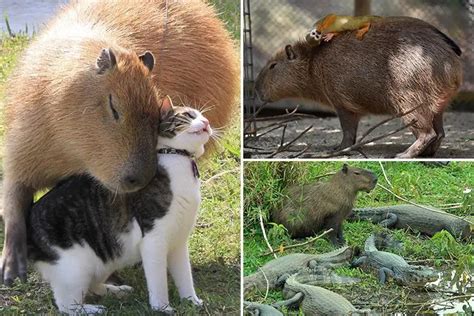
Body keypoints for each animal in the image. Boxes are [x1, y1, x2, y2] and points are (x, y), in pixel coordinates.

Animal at [25, 96, 211, 314]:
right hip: (74, 270)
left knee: (93, 285)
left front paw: (191, 301)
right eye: (190, 115)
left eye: (203, 116)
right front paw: (162, 307)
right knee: (66, 305)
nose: (207, 122)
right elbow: (158, 281)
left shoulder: (179, 241)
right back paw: (91, 309)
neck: (178, 158)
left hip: (104, 260)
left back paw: (115, 290)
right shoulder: (154, 239)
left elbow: (184, 275)